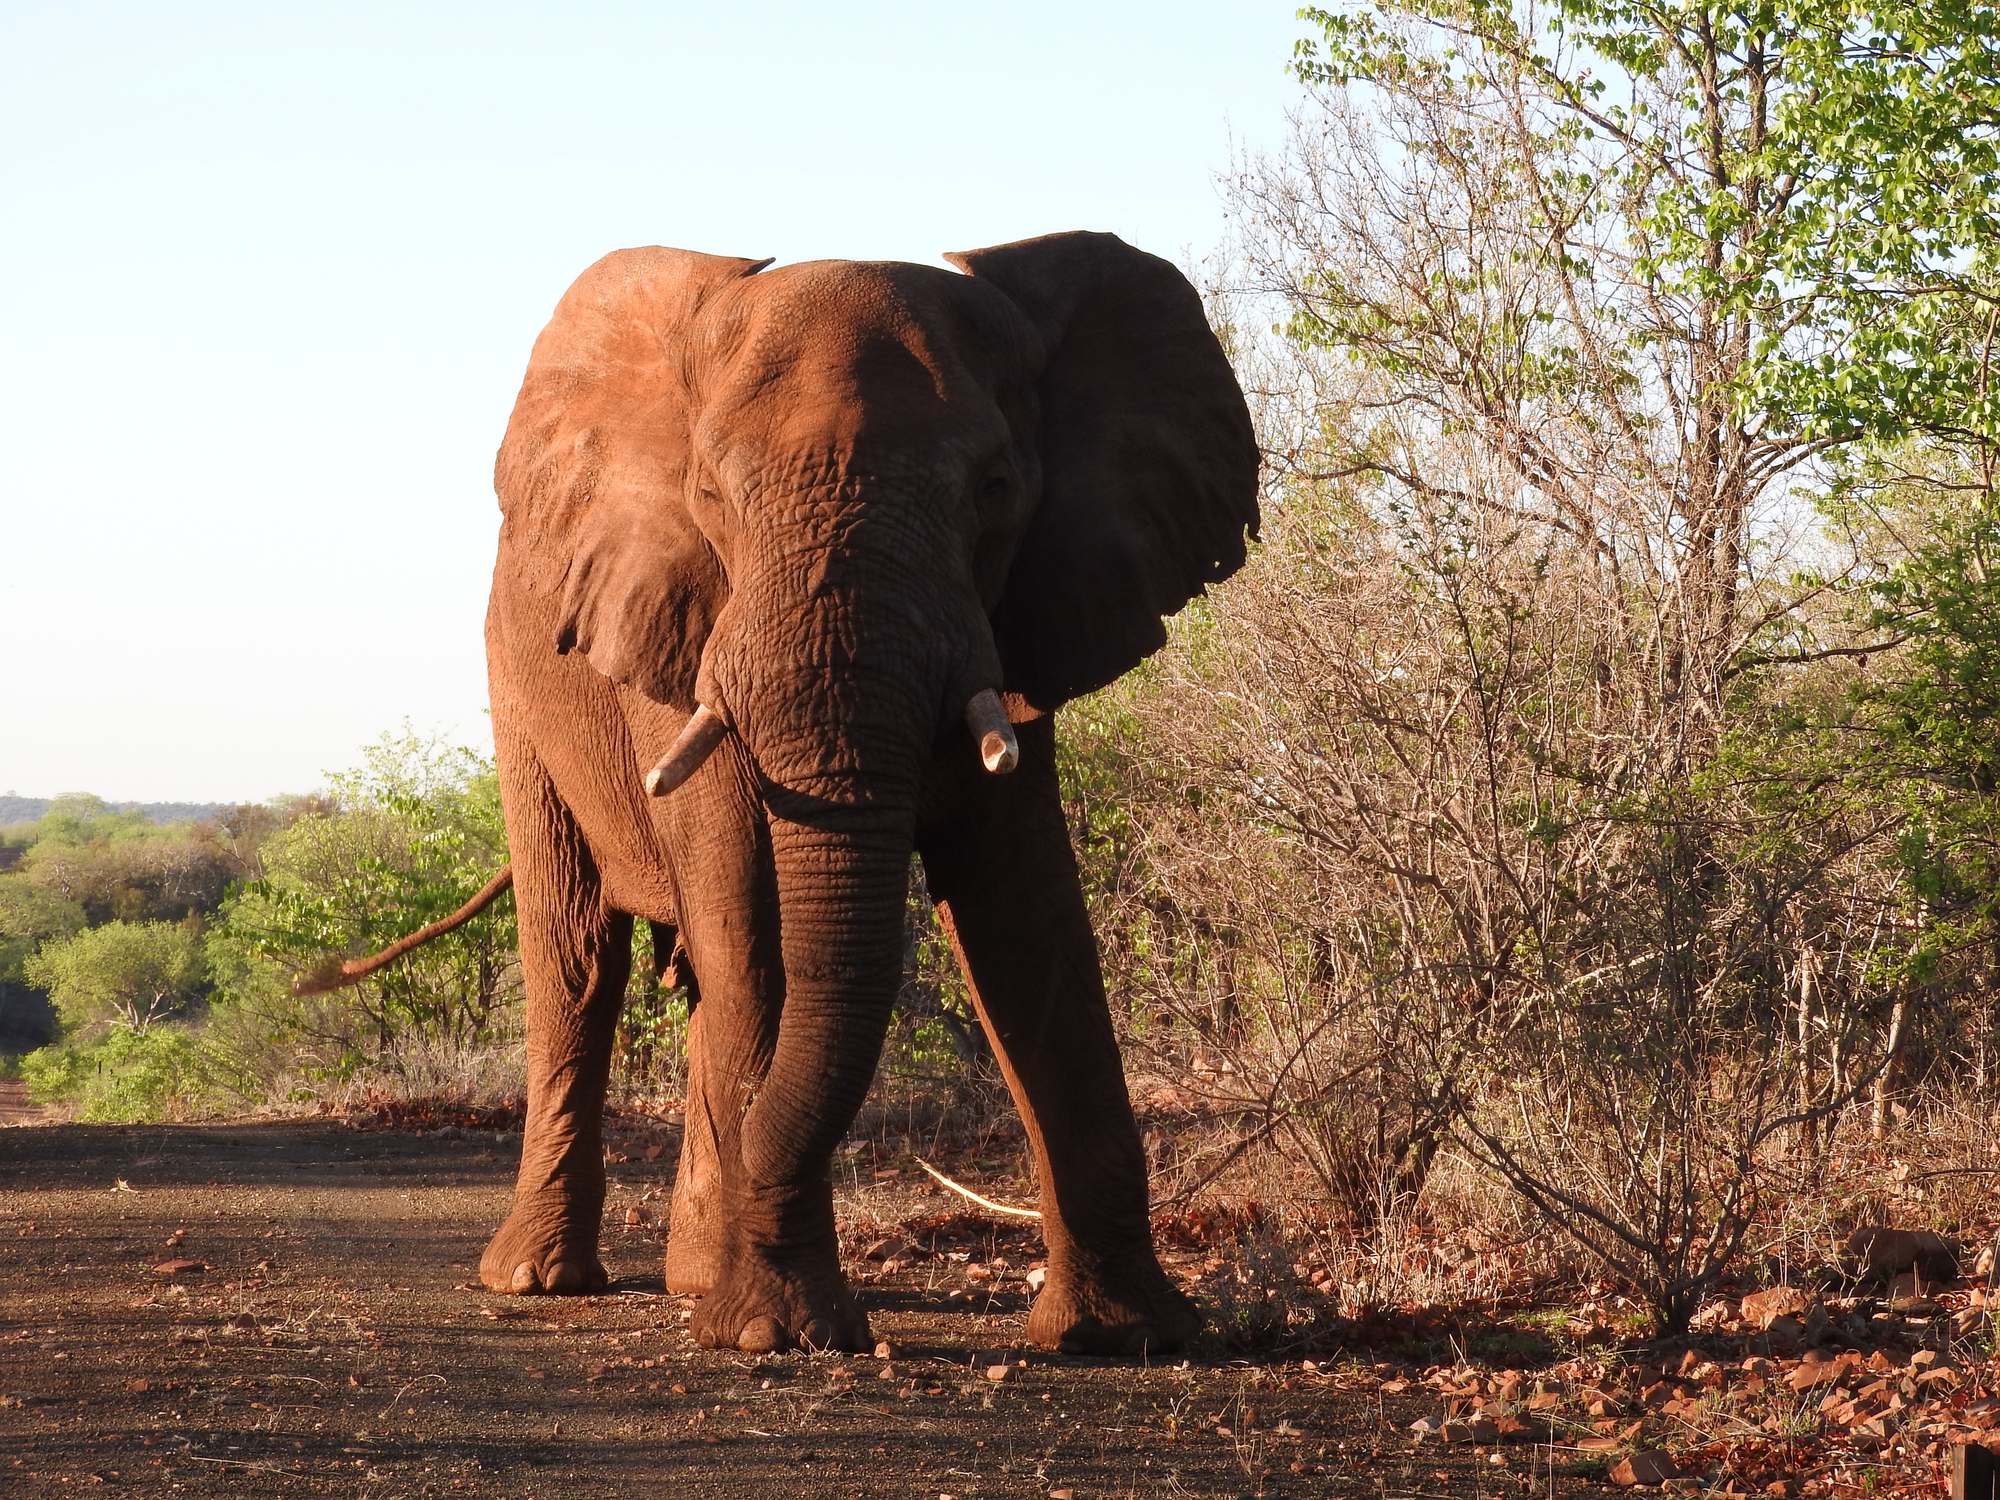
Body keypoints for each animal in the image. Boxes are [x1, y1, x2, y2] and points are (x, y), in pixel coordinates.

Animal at [327, 231, 1259, 1356]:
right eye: (710, 497)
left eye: (993, 487)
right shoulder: (679, 623)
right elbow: (751, 916)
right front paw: (774, 1333)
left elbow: (1026, 915)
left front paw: (1128, 1336)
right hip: (518, 684)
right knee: (580, 955)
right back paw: (544, 1280)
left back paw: (693, 1277)